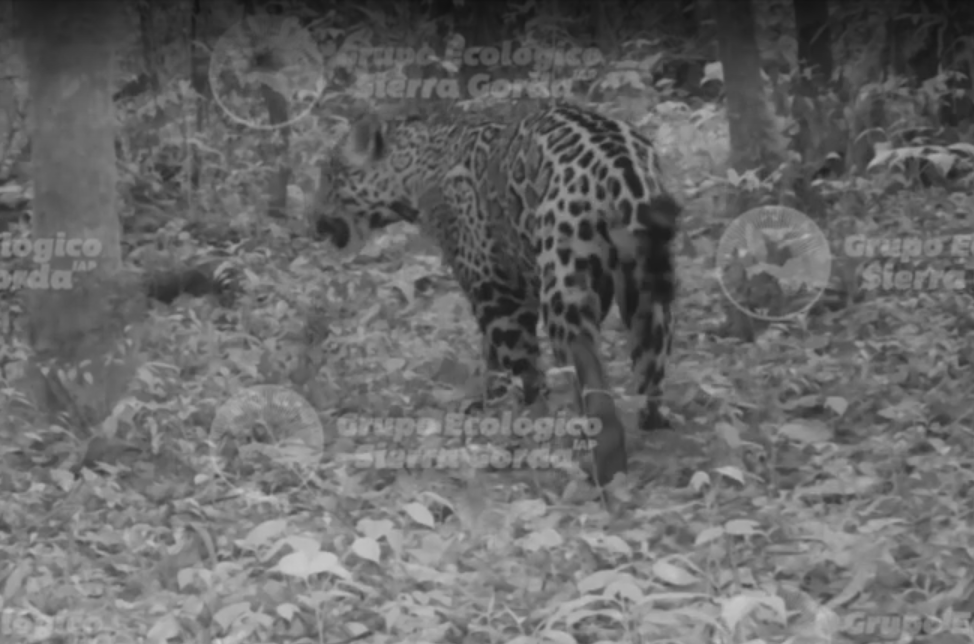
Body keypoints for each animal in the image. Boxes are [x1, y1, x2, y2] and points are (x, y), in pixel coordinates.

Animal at [308, 102, 680, 485]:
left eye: (328, 177)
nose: (310, 219)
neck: (415, 171)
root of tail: (624, 173)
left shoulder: (496, 291)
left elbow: (522, 368)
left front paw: (522, 422)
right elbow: (493, 358)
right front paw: (491, 404)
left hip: (565, 293)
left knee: (591, 384)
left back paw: (598, 465)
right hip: (646, 294)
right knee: (649, 375)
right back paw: (652, 431)